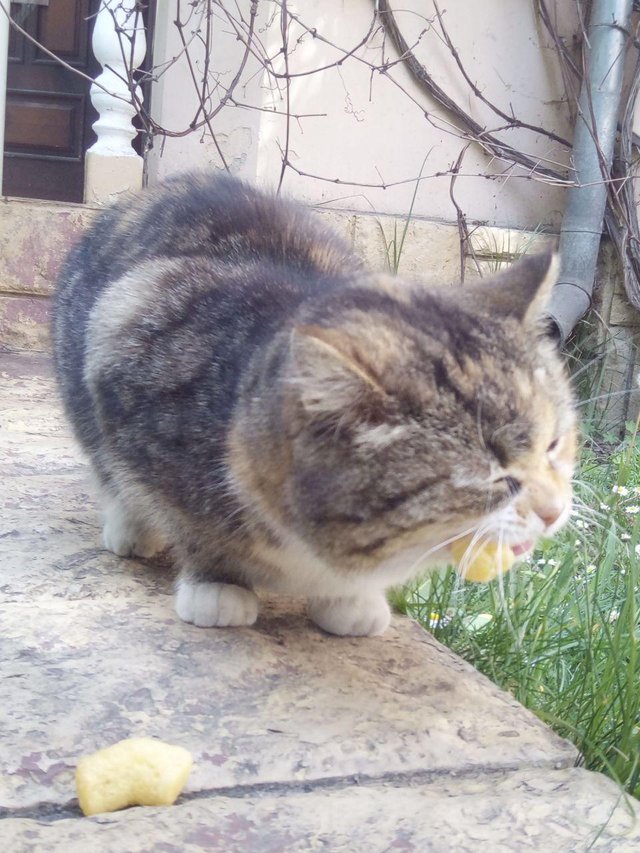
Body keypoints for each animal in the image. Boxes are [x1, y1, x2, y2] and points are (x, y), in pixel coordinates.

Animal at [52, 173, 576, 636]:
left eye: (553, 445)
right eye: (491, 476)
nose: (553, 512)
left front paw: (350, 601)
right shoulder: (130, 330)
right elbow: (190, 523)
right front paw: (216, 585)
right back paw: (129, 528)